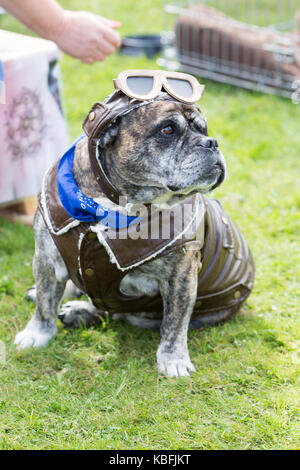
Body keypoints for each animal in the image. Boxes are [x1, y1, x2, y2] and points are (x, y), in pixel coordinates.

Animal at [14, 92, 253, 378]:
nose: (212, 142)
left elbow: (175, 321)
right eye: (168, 129)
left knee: (118, 311)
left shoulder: (181, 276)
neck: (113, 205)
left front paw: (173, 359)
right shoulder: (46, 258)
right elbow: (45, 301)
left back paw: (80, 312)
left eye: (203, 129)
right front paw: (38, 332)